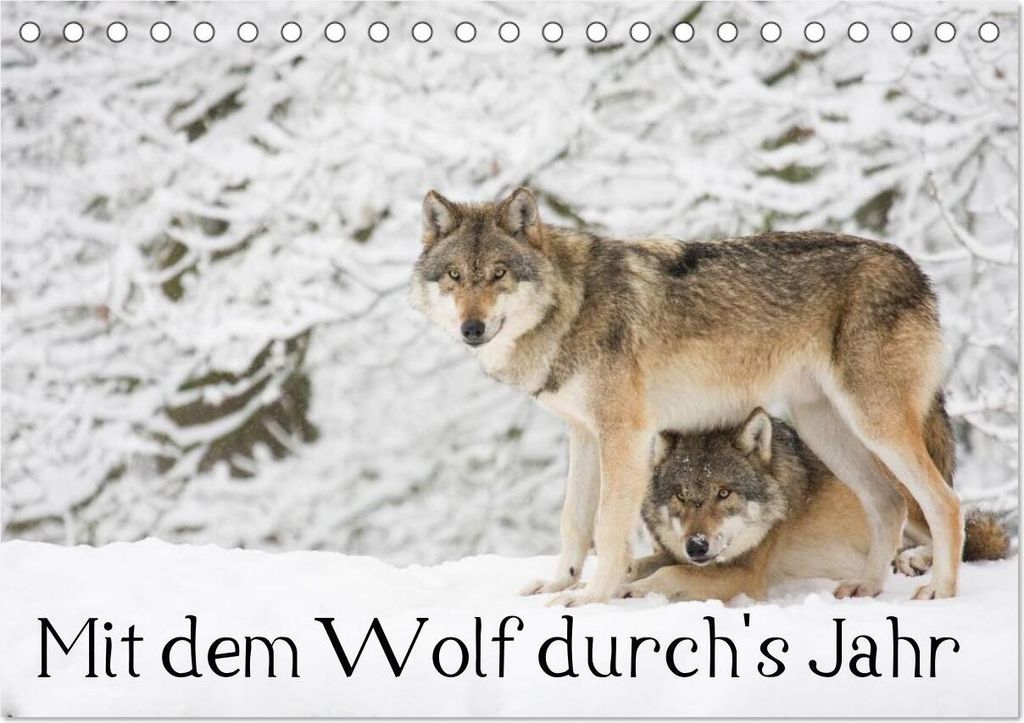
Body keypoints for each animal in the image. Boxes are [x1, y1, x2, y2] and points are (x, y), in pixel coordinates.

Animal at [411, 187, 963, 604]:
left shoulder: (625, 436)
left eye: (498, 273)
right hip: (823, 426)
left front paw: (591, 599)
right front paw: (558, 584)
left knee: (944, 502)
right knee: (889, 502)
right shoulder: (584, 436)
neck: (572, 304)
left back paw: (940, 589)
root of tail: (914, 267)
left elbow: (608, 530)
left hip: (874, 423)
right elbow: (573, 522)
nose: (472, 328)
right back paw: (867, 586)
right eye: (455, 276)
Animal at [623, 408, 1009, 602]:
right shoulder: (675, 554)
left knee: (953, 530)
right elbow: (641, 565)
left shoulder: (743, 575)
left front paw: (631, 590)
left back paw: (915, 563)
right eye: (681, 495)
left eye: (724, 493)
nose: (697, 546)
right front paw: (617, 580)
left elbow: (670, 573)